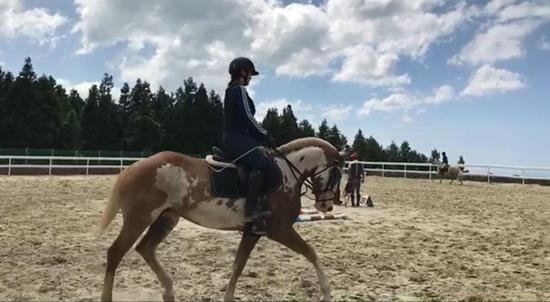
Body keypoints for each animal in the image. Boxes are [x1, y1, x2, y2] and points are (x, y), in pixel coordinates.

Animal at [95, 137, 344, 302]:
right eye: (337, 173)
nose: (327, 205)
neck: (285, 173)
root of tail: (134, 166)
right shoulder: (280, 230)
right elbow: (311, 252)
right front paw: (327, 292)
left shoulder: (253, 232)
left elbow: (238, 265)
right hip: (139, 219)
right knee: (115, 252)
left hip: (166, 219)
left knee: (145, 248)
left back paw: (169, 291)